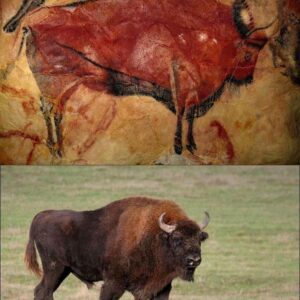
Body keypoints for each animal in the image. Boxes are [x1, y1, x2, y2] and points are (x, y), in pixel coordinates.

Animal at [24, 197, 210, 300]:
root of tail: (41, 216)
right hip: (54, 268)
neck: (154, 237)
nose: (194, 260)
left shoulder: (160, 289)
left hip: (63, 270)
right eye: (177, 239)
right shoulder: (113, 285)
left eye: (199, 239)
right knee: (44, 291)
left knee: (41, 291)